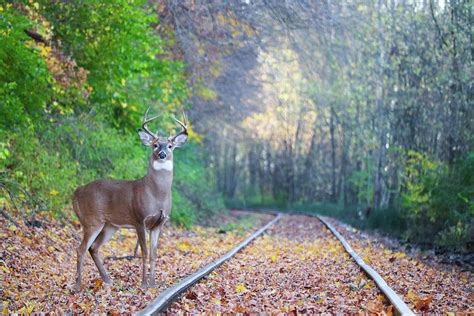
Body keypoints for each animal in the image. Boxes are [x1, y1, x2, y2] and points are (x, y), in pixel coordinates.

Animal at [73, 108, 188, 292]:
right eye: (155, 145)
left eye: (170, 146)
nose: (162, 154)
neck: (157, 195)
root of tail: (77, 191)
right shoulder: (139, 219)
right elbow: (144, 252)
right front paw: (144, 283)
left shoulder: (159, 223)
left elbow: (154, 254)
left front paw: (153, 283)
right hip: (92, 220)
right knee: (80, 249)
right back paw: (78, 286)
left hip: (110, 225)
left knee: (93, 248)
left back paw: (108, 280)